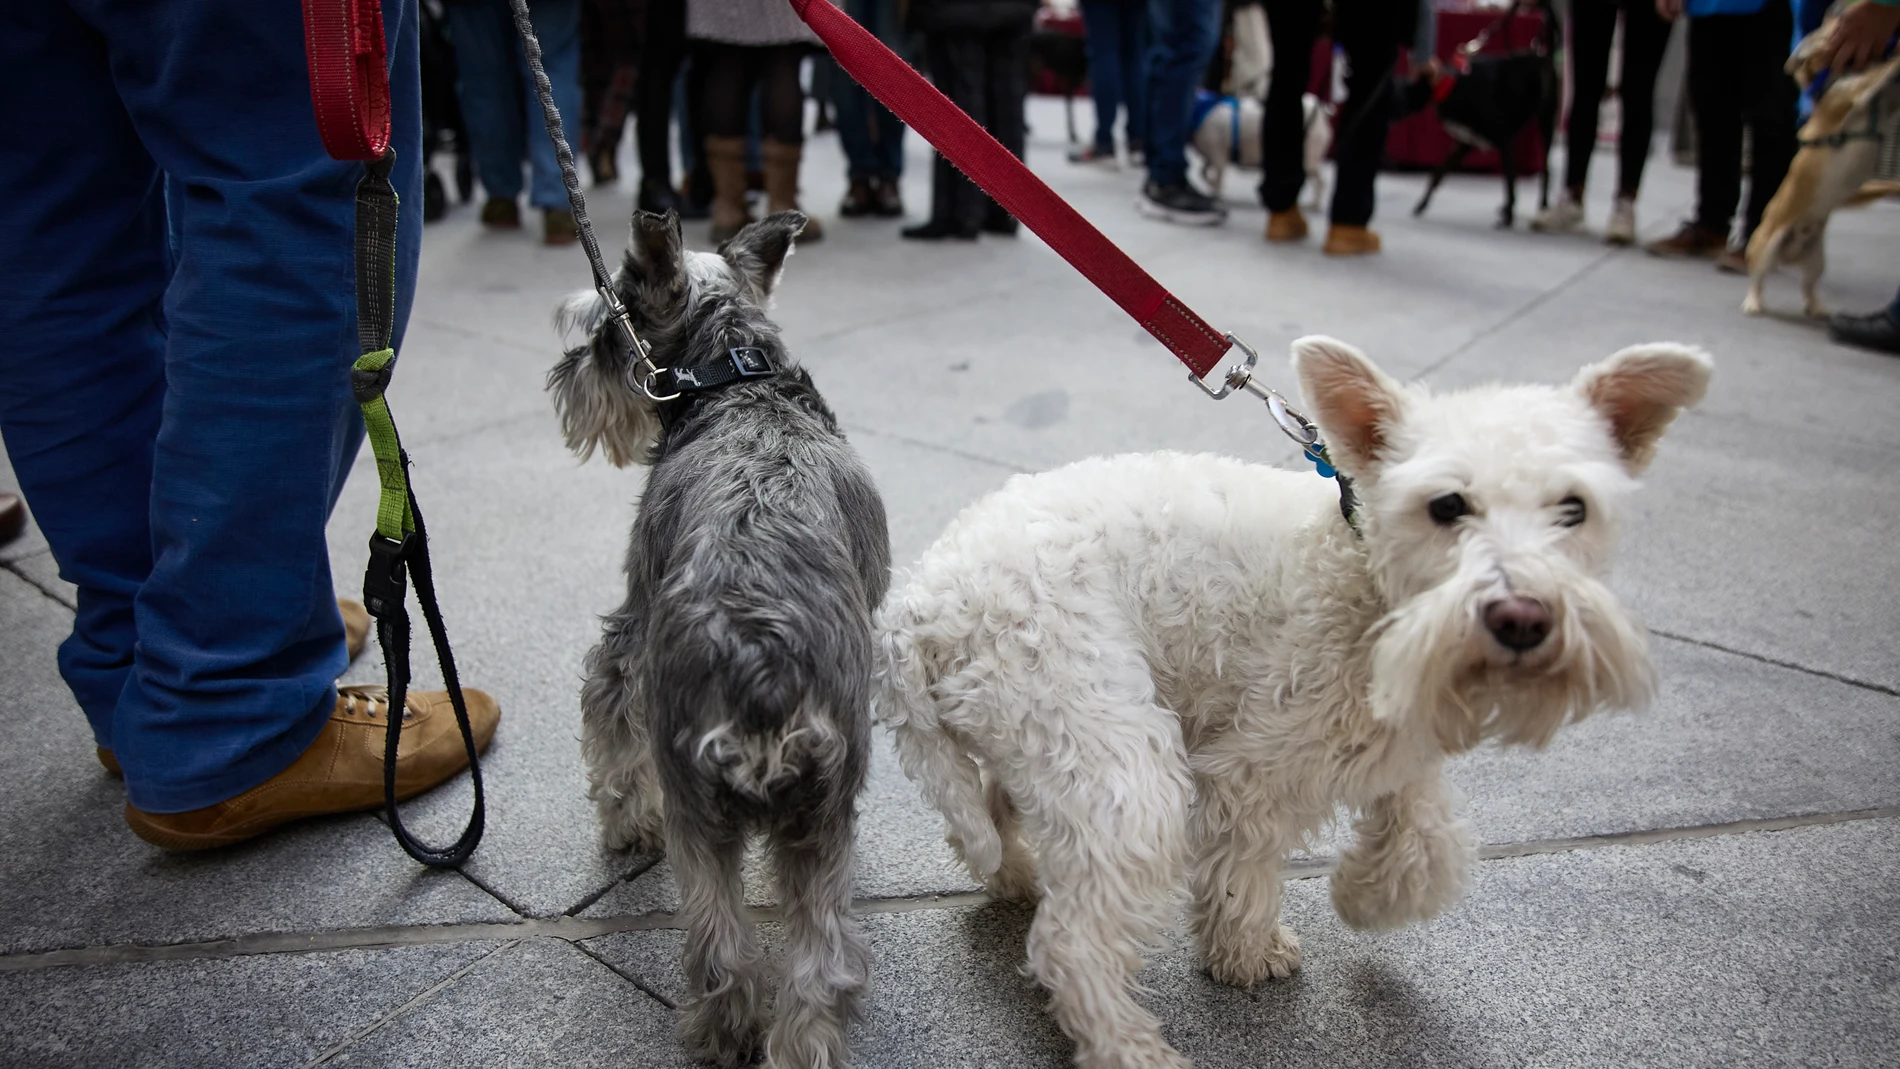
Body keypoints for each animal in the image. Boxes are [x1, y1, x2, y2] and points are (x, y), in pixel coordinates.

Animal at [551, 208, 889, 1069]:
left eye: (606, 333)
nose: (567, 377)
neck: (741, 380)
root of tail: (760, 666)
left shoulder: (629, 629)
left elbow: (608, 724)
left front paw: (621, 824)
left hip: (697, 815)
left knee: (724, 946)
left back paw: (720, 1032)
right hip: (807, 820)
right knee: (809, 961)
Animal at [874, 336, 1710, 1069]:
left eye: (1575, 508)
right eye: (1447, 505)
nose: (1524, 617)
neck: (1360, 564)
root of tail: (917, 604)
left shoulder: (1392, 744)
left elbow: (1427, 844)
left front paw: (1366, 897)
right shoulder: (1255, 763)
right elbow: (1245, 866)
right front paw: (1248, 952)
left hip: (1044, 738)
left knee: (995, 812)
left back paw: (1013, 873)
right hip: (1119, 765)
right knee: (1069, 943)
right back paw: (1130, 1046)